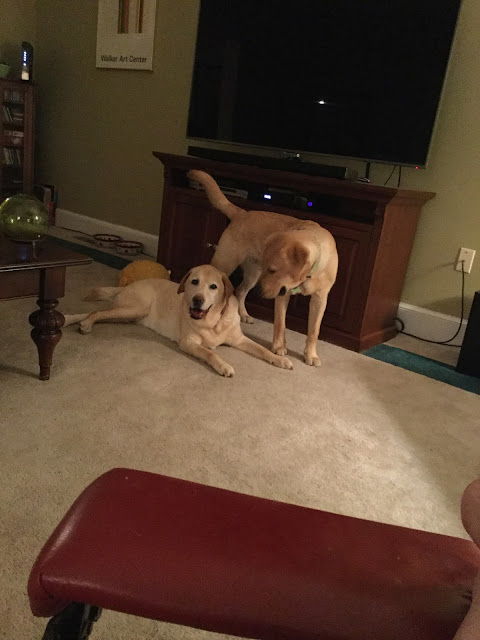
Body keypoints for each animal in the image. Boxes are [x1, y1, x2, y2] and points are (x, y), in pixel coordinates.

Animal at [63, 264, 293, 377]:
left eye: (213, 287)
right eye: (194, 282)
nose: (197, 300)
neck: (213, 320)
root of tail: (127, 286)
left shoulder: (239, 339)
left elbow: (262, 350)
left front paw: (279, 359)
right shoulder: (189, 343)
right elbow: (210, 353)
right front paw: (224, 366)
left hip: (130, 314)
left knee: (93, 312)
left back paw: (70, 319)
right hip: (133, 309)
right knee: (97, 312)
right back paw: (85, 324)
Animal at [188, 170, 338, 367]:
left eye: (273, 270)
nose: (259, 292)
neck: (309, 274)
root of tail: (242, 213)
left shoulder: (320, 298)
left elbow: (314, 331)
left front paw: (311, 355)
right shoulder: (282, 294)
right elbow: (280, 323)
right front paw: (279, 348)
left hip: (252, 275)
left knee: (240, 292)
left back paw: (243, 314)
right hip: (226, 264)